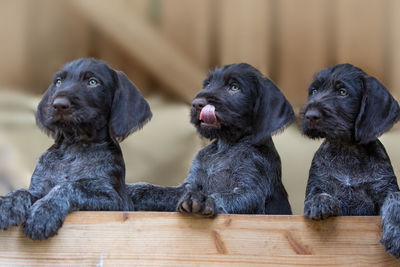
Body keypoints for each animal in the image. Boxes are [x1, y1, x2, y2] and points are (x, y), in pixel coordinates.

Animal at [0, 58, 152, 241]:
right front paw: (8, 203)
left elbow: (70, 187)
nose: (58, 104)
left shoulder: (114, 200)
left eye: (92, 82)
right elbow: (23, 191)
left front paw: (44, 212)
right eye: (58, 82)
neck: (75, 146)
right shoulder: (39, 189)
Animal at [130, 63, 296, 218]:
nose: (196, 104)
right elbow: (156, 190)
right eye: (208, 84)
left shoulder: (252, 191)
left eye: (234, 87)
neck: (227, 145)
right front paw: (129, 190)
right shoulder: (190, 185)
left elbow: (223, 197)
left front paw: (202, 200)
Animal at [302, 64, 400, 258]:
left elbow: (395, 200)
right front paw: (319, 202)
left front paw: (396, 235)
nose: (310, 115)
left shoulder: (386, 188)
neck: (347, 151)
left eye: (342, 92)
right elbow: (317, 192)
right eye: (314, 91)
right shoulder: (317, 183)